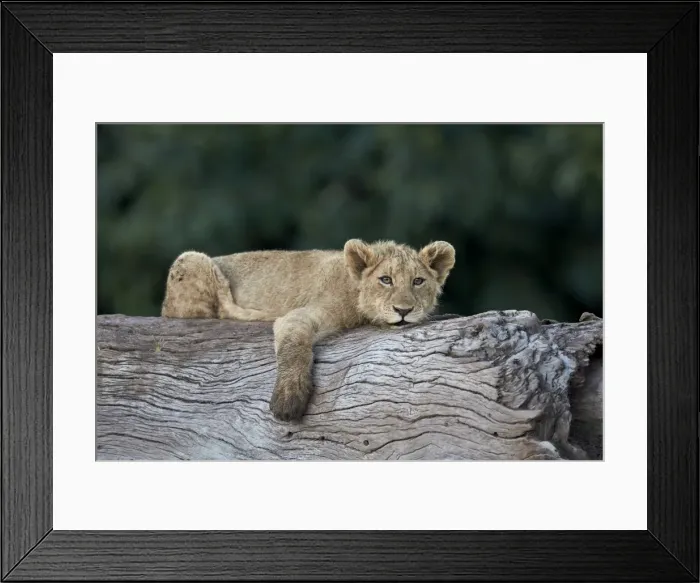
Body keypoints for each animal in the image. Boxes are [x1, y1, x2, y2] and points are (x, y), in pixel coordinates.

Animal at [161, 239, 456, 421]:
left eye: (418, 281)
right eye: (386, 280)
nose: (403, 310)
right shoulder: (300, 316)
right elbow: (294, 346)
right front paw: (288, 399)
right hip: (191, 260)